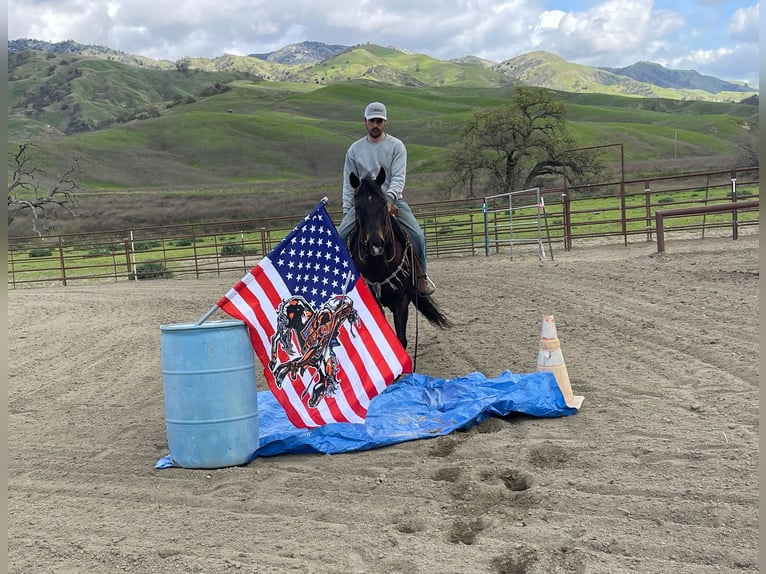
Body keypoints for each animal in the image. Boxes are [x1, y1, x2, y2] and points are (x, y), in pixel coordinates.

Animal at [348, 168, 450, 352]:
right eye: (357, 208)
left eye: (383, 204)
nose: (376, 244)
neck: (379, 264)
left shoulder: (402, 300)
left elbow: (401, 339)